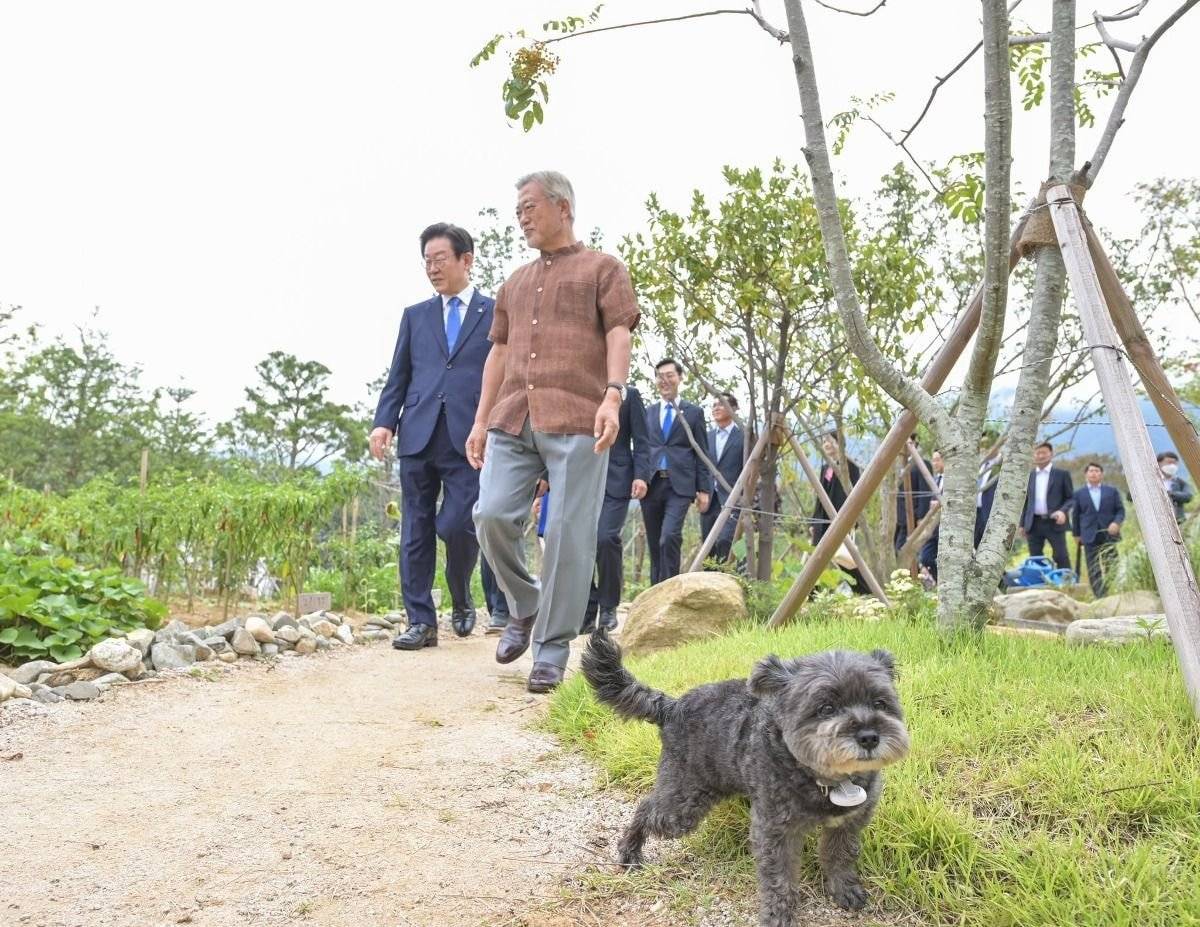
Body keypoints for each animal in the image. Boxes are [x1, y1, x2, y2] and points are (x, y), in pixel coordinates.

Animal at [580, 624, 907, 922]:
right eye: (826, 708)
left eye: (880, 703)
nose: (869, 737)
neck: (822, 778)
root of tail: (672, 707)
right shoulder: (775, 830)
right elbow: (779, 878)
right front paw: (778, 916)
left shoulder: (849, 821)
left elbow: (840, 855)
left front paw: (844, 889)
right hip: (684, 803)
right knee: (647, 807)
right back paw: (630, 853)